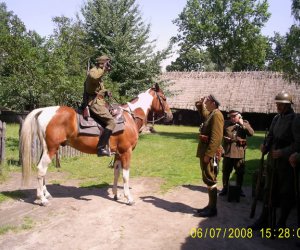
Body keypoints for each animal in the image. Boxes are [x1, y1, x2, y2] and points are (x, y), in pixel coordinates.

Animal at [20, 83, 171, 206]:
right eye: (163, 98)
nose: (170, 116)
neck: (129, 117)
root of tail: (44, 110)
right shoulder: (126, 152)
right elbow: (125, 175)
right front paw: (129, 198)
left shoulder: (118, 153)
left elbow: (116, 172)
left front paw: (116, 194)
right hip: (51, 149)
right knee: (41, 169)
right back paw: (42, 199)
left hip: (46, 149)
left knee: (42, 171)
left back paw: (46, 194)